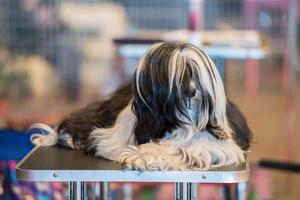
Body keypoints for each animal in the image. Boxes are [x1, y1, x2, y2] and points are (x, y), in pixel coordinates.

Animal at [29, 42, 251, 170]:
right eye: (178, 75)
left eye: (193, 71)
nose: (191, 91)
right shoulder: (115, 135)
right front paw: (143, 154)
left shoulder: (220, 145)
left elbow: (185, 148)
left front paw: (147, 156)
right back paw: (68, 138)